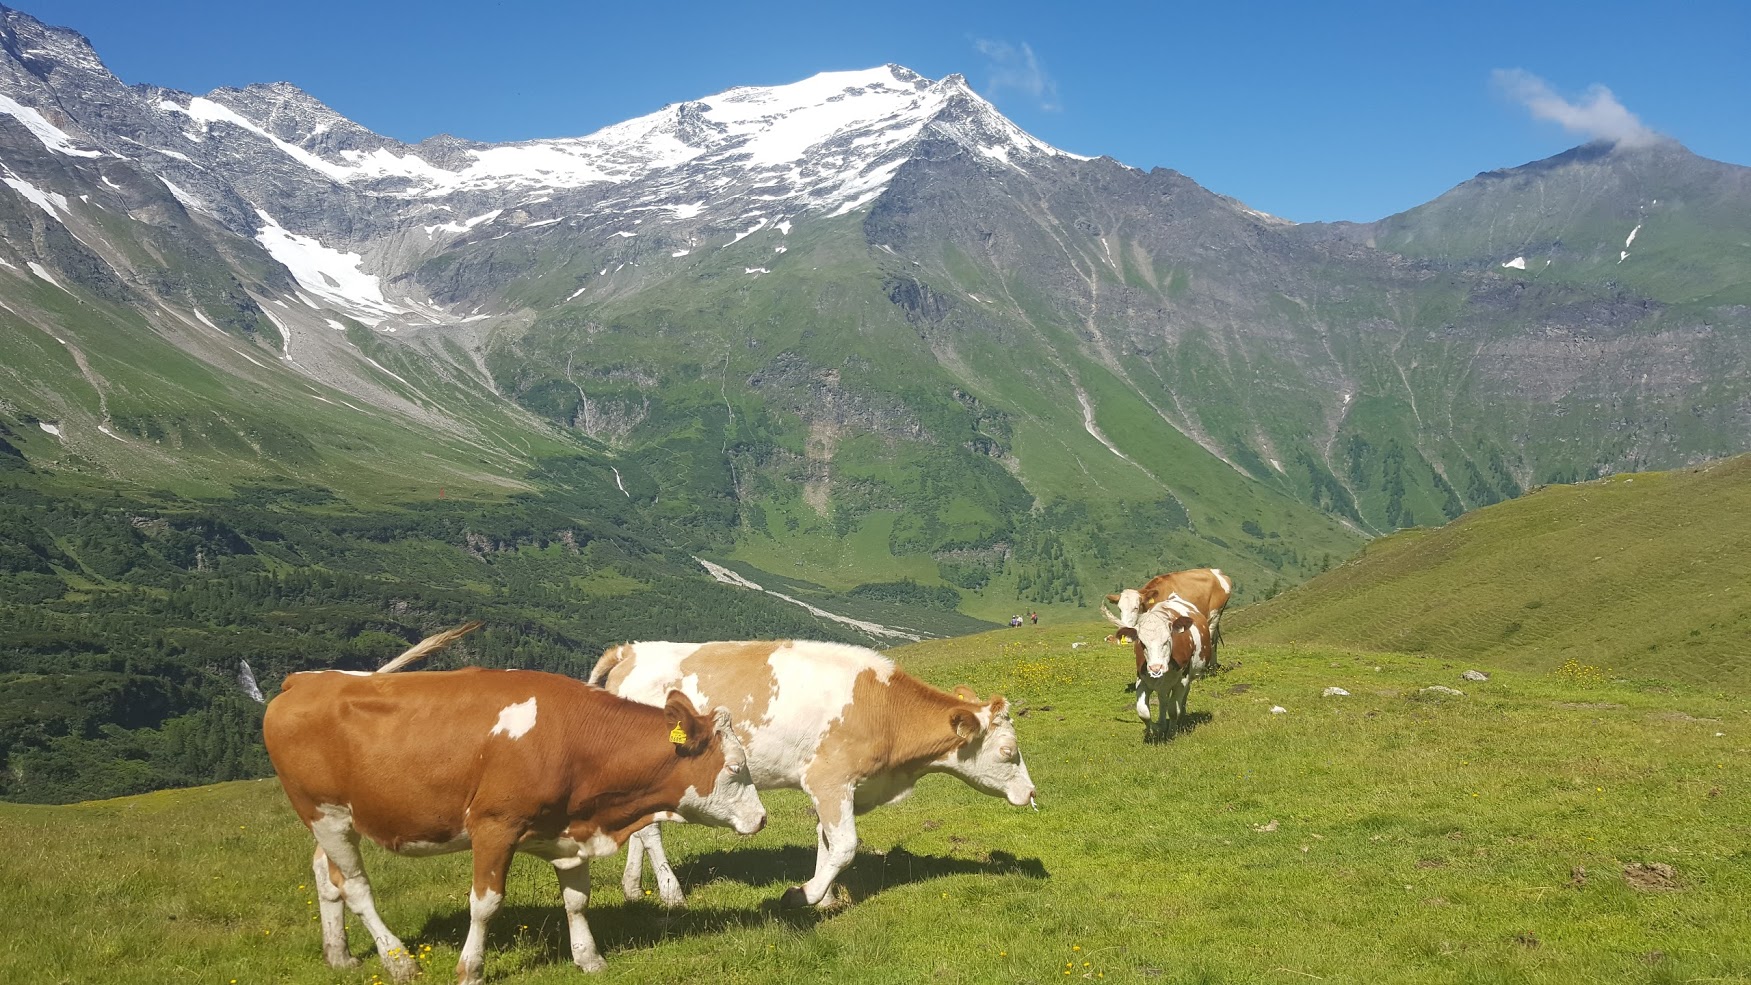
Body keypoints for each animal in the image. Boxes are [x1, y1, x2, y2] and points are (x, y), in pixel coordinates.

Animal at [264, 629, 766, 979]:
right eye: (735, 767)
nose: (761, 818)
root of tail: (304, 681)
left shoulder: (570, 831)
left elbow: (577, 900)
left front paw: (588, 958)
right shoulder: (493, 827)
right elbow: (485, 905)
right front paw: (470, 969)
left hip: (336, 819)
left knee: (325, 876)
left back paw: (340, 955)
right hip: (325, 813)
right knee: (355, 888)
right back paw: (399, 960)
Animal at [588, 640, 1029, 909]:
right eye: (1008, 752)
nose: (1031, 792)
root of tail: (630, 651)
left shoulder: (836, 786)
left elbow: (825, 840)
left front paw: (827, 897)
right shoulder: (828, 778)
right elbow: (845, 846)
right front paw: (804, 895)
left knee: (642, 827)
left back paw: (633, 888)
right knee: (651, 832)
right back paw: (671, 892)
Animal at [1099, 594, 1211, 741]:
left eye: (1168, 640)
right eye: (1142, 643)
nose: (1156, 668)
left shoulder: (1181, 681)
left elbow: (1173, 710)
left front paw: (1171, 732)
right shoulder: (1142, 680)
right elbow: (1143, 712)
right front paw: (1153, 730)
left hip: (1189, 677)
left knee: (1181, 698)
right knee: (1162, 700)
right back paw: (1162, 722)